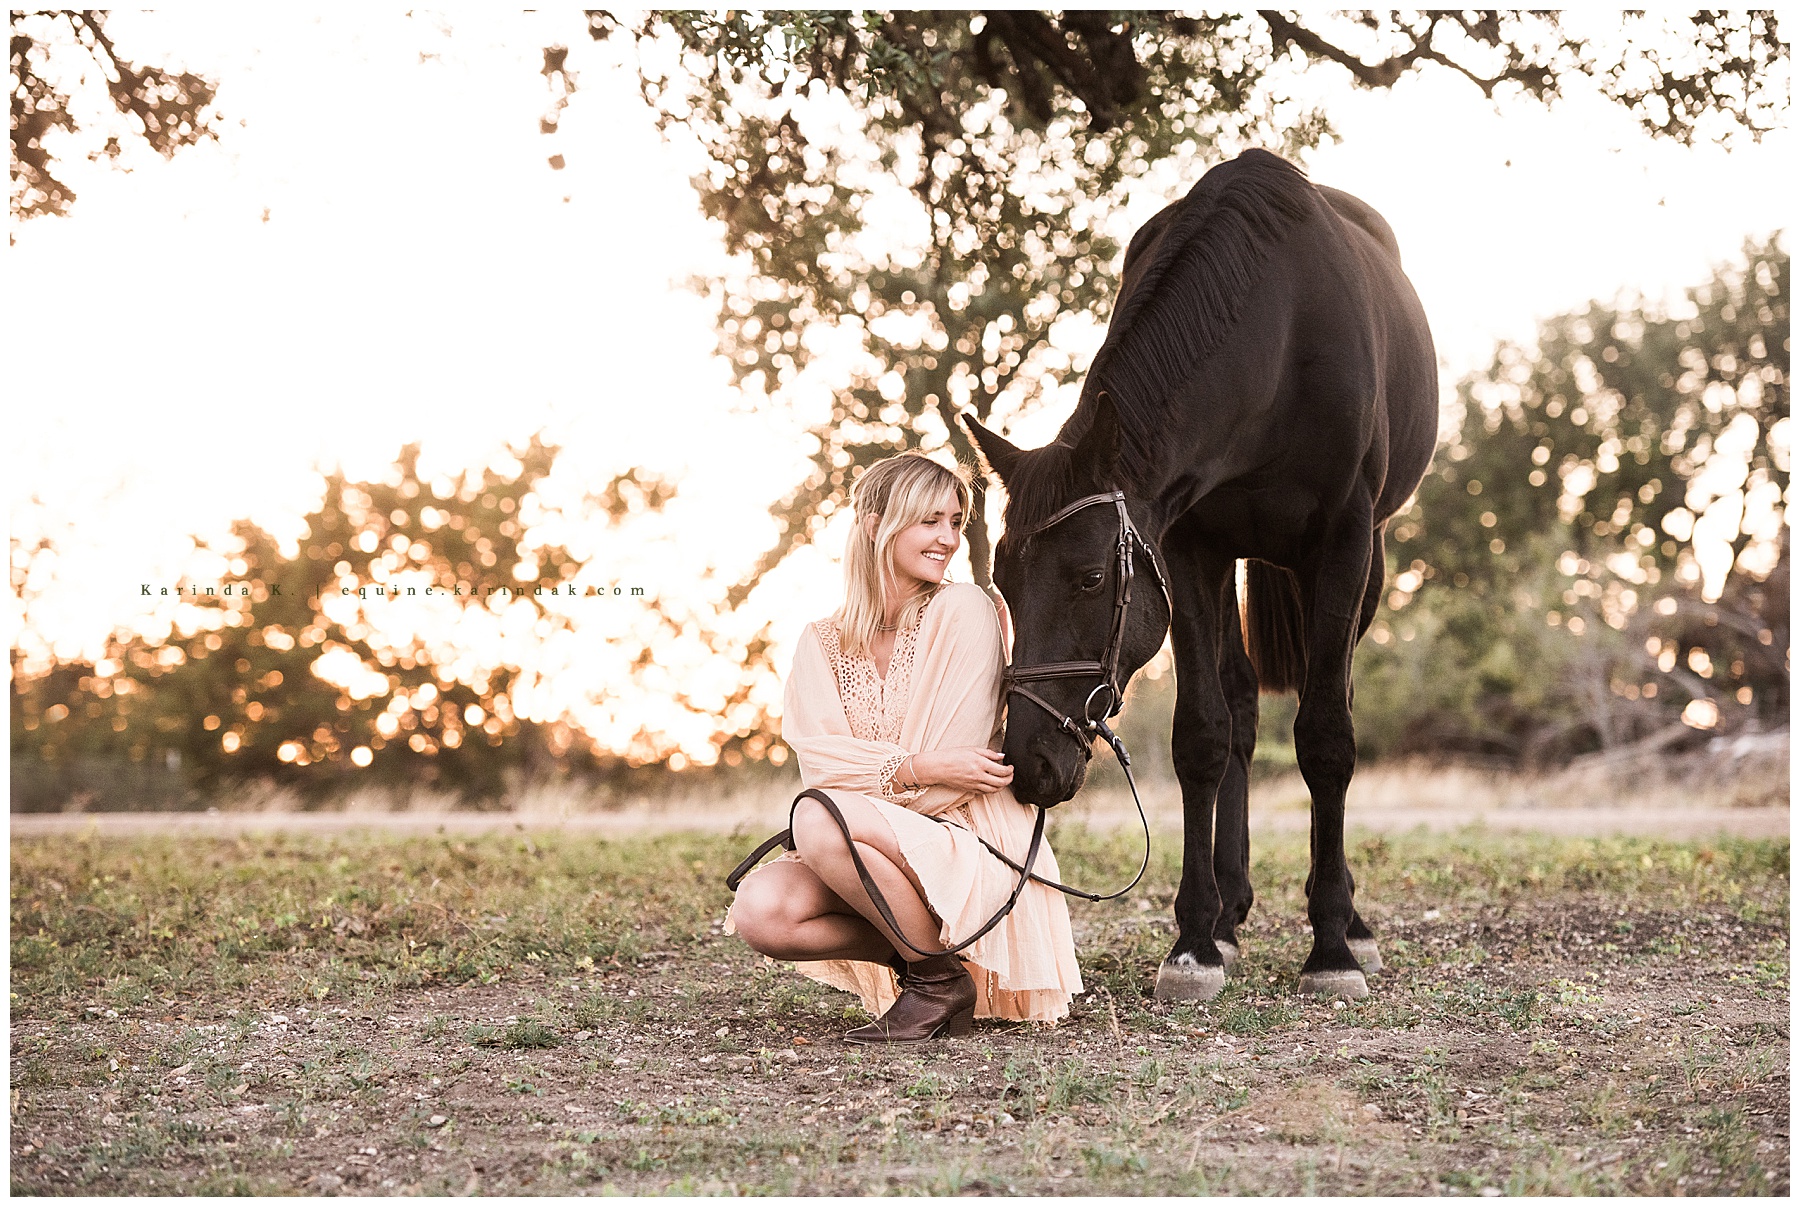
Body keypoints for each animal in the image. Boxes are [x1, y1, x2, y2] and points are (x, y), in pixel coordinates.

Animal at [961, 148, 1438, 1001]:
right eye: (1004, 582)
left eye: (1089, 578)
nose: (1027, 763)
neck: (1278, 334)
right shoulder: (1185, 550)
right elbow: (1204, 734)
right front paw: (1195, 940)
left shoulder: (1345, 542)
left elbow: (1326, 735)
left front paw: (1332, 945)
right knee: (1242, 707)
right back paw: (1230, 911)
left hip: (1371, 562)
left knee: (1337, 699)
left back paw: (1350, 919)